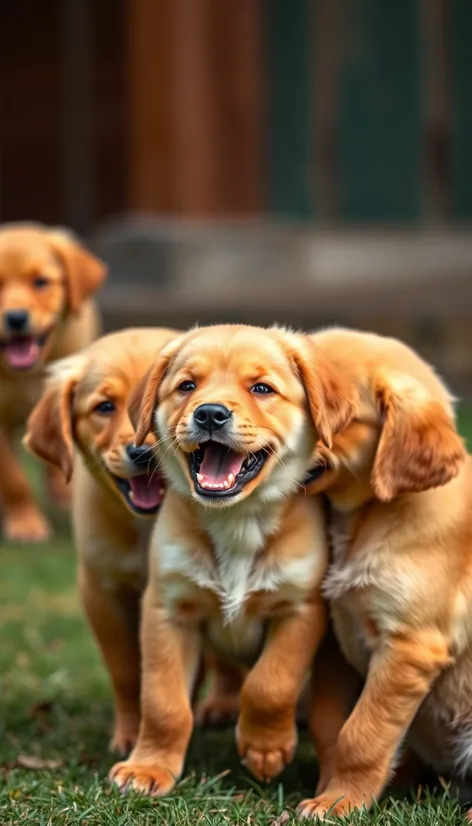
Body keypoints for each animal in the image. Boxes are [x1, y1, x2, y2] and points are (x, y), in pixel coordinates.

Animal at [109, 320, 332, 792]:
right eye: (187, 386)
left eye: (262, 388)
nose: (210, 414)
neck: (237, 521)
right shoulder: (167, 609)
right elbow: (163, 701)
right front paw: (149, 767)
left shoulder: (301, 609)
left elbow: (270, 683)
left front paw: (265, 748)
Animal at [296, 328, 468, 816]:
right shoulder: (339, 637)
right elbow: (331, 724)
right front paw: (333, 790)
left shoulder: (409, 645)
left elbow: (363, 735)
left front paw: (339, 802)